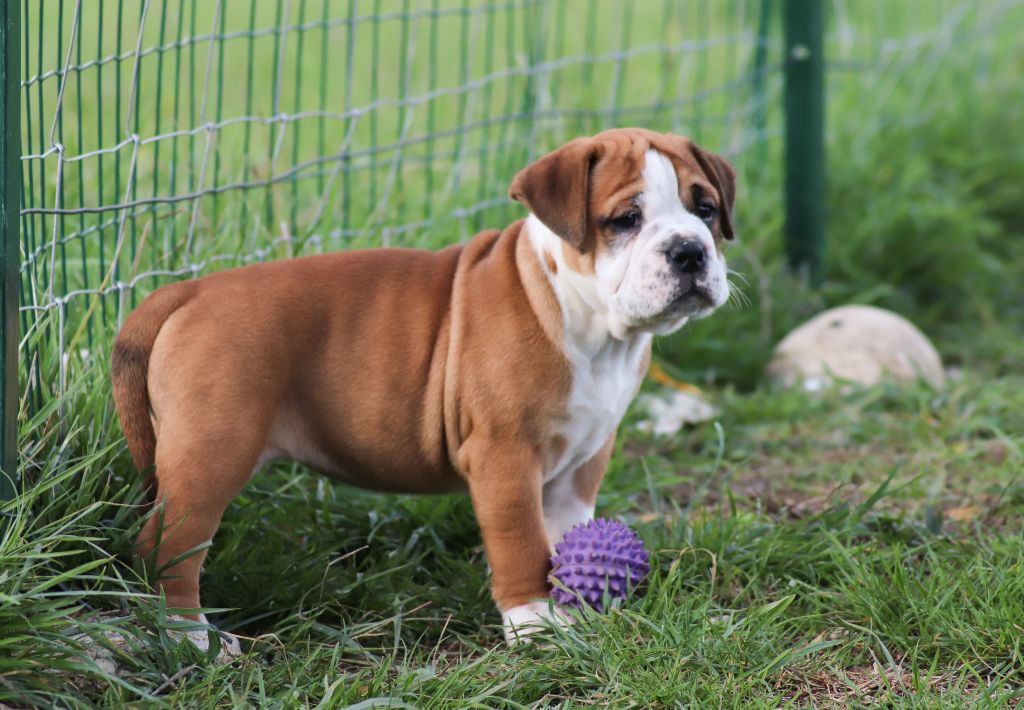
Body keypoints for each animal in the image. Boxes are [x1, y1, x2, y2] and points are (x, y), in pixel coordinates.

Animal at [112, 127, 736, 644]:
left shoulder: (584, 460)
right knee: (166, 548)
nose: (689, 250)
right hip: (211, 454)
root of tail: (187, 292)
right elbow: (521, 541)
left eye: (705, 210)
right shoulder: (504, 455)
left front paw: (578, 607)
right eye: (626, 219)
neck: (594, 328)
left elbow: (567, 533)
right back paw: (189, 638)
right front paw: (533, 621)